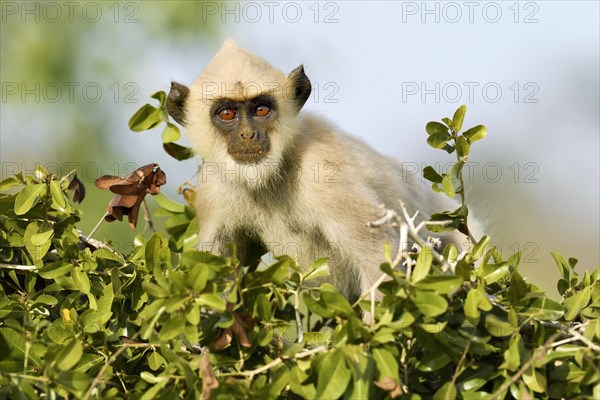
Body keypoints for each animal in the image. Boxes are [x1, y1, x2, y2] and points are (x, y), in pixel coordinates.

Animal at [166, 39, 472, 304]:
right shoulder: (213, 188)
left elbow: (377, 252)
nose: (248, 135)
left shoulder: (324, 174)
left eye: (262, 110)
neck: (270, 177)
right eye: (227, 114)